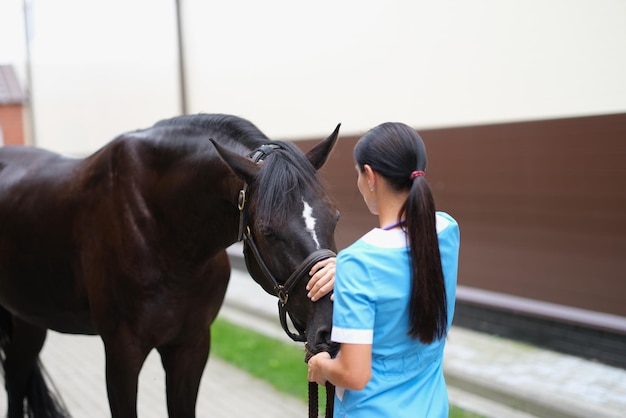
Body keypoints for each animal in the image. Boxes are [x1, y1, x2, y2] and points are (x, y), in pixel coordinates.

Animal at [0, 112, 338, 416]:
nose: (331, 328)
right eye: (268, 231)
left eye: (335, 217)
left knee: (16, 375)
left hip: (29, 318)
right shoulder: (122, 353)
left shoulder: (191, 346)